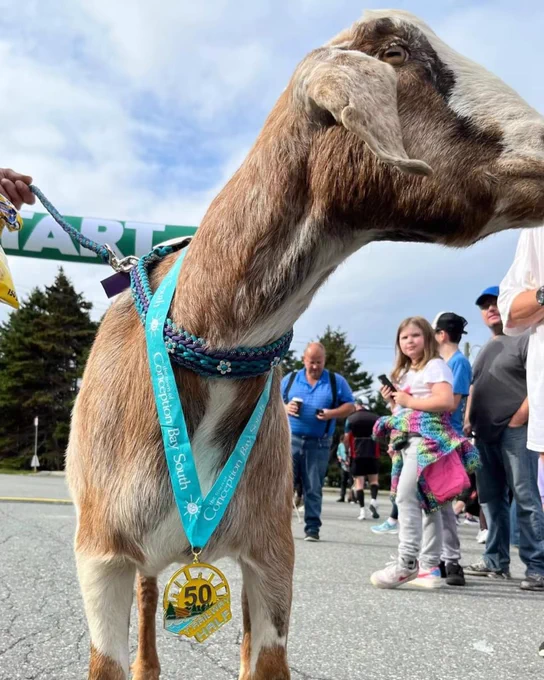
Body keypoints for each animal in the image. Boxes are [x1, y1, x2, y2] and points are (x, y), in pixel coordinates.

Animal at [66, 9, 544, 680]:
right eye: (396, 53)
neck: (207, 344)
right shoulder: (99, 555)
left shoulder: (272, 550)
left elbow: (264, 658)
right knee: (147, 600)